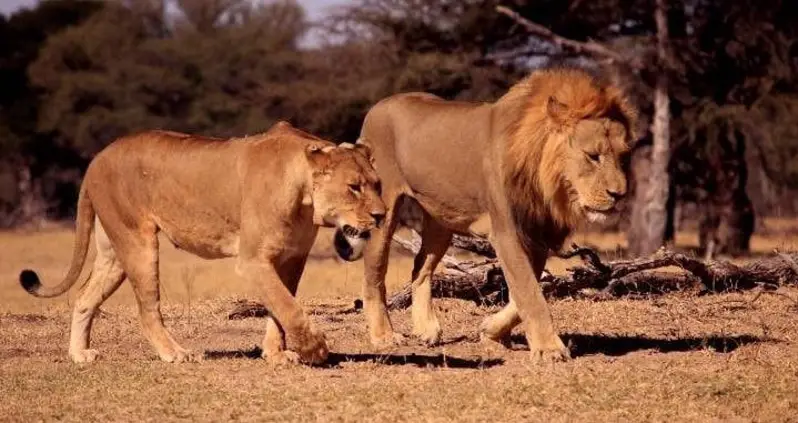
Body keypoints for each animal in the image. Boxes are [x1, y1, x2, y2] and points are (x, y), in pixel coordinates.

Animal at [19, 121, 386, 365]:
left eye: (377, 184)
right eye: (353, 187)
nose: (382, 215)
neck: (305, 196)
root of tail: (97, 158)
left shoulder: (292, 258)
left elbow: (280, 306)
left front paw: (276, 353)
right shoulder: (252, 260)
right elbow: (288, 307)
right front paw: (314, 349)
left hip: (112, 252)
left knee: (84, 296)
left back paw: (79, 354)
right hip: (137, 242)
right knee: (146, 308)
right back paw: (175, 354)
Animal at [354, 67, 639, 361]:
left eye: (624, 157)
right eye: (592, 156)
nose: (620, 194)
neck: (547, 184)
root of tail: (378, 105)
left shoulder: (536, 235)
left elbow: (525, 293)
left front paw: (490, 331)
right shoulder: (506, 232)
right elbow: (529, 292)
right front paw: (549, 349)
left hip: (442, 222)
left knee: (420, 267)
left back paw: (426, 329)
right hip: (383, 213)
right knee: (373, 276)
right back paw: (384, 336)